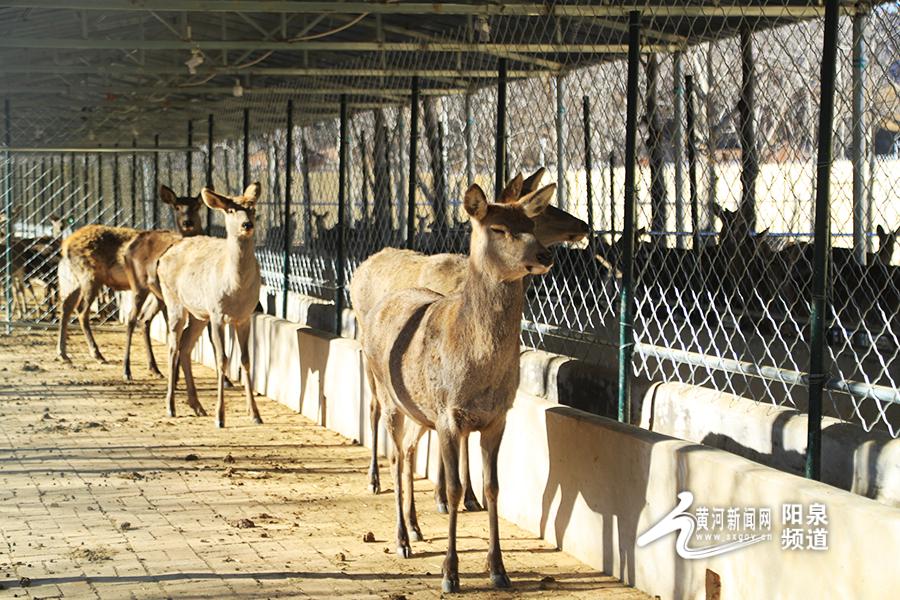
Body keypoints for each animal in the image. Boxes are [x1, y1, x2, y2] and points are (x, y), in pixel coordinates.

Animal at [57, 188, 203, 364]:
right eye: (177, 207)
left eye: (197, 206)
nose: (188, 222)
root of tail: (65, 245)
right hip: (90, 276)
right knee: (81, 310)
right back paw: (97, 354)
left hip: (72, 279)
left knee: (66, 306)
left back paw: (63, 353)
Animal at [120, 184, 201, 380]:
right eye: (177, 207)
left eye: (197, 206)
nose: (187, 222)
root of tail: (127, 249)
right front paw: (177, 374)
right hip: (138, 285)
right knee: (131, 318)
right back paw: (127, 370)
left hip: (157, 295)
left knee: (145, 319)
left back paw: (155, 368)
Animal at [157, 183, 262, 426]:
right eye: (231, 210)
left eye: (252, 207)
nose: (247, 225)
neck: (236, 289)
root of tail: (162, 257)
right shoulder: (217, 314)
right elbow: (221, 359)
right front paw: (220, 417)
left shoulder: (245, 316)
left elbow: (246, 360)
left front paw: (255, 414)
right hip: (173, 300)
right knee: (172, 345)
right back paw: (170, 407)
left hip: (199, 314)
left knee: (185, 345)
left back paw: (197, 406)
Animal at [352, 166, 592, 512]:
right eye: (545, 209)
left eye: (532, 218)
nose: (583, 225)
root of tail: (360, 268)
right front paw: (447, 496)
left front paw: (469, 496)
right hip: (366, 346)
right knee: (374, 406)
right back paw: (374, 479)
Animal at [358, 180, 556, 592]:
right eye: (498, 228)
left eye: (531, 223)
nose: (545, 254)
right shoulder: (449, 415)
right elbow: (453, 488)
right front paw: (450, 574)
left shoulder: (497, 417)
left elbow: (492, 486)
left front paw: (499, 570)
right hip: (388, 394)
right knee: (394, 454)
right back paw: (401, 538)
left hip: (420, 412)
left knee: (410, 451)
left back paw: (416, 527)